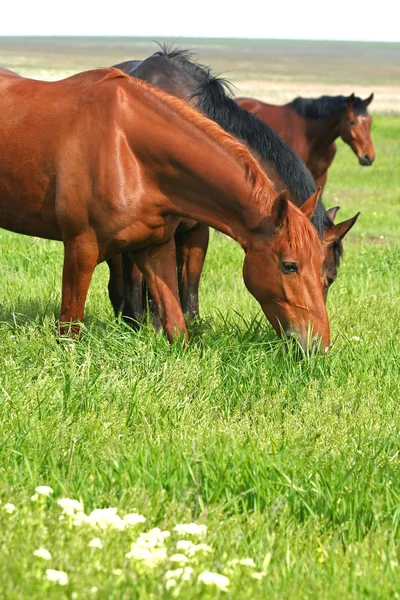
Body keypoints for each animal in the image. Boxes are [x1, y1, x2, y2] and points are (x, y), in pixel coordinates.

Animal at [0, 68, 332, 354]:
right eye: (289, 266)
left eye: (323, 269)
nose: (319, 346)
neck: (126, 146)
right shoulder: (81, 247)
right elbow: (70, 332)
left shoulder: (154, 248)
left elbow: (176, 325)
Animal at [105, 47, 356, 328]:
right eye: (331, 277)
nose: (312, 327)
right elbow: (139, 283)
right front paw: (138, 326)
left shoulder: (197, 230)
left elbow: (189, 288)